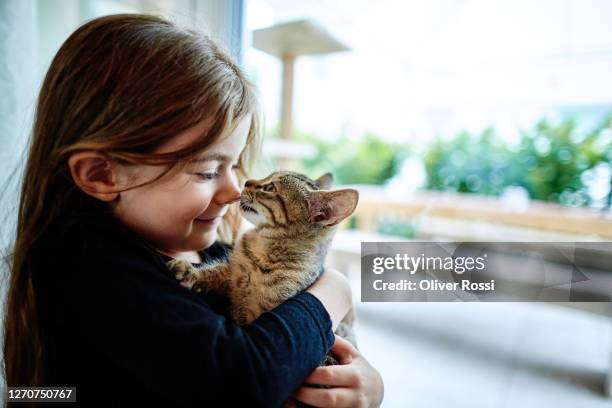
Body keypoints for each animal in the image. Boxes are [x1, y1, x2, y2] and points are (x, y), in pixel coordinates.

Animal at [167, 170, 358, 350]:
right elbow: (214, 271)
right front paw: (191, 272)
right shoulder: (233, 272)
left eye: (269, 188)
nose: (247, 181)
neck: (261, 251)